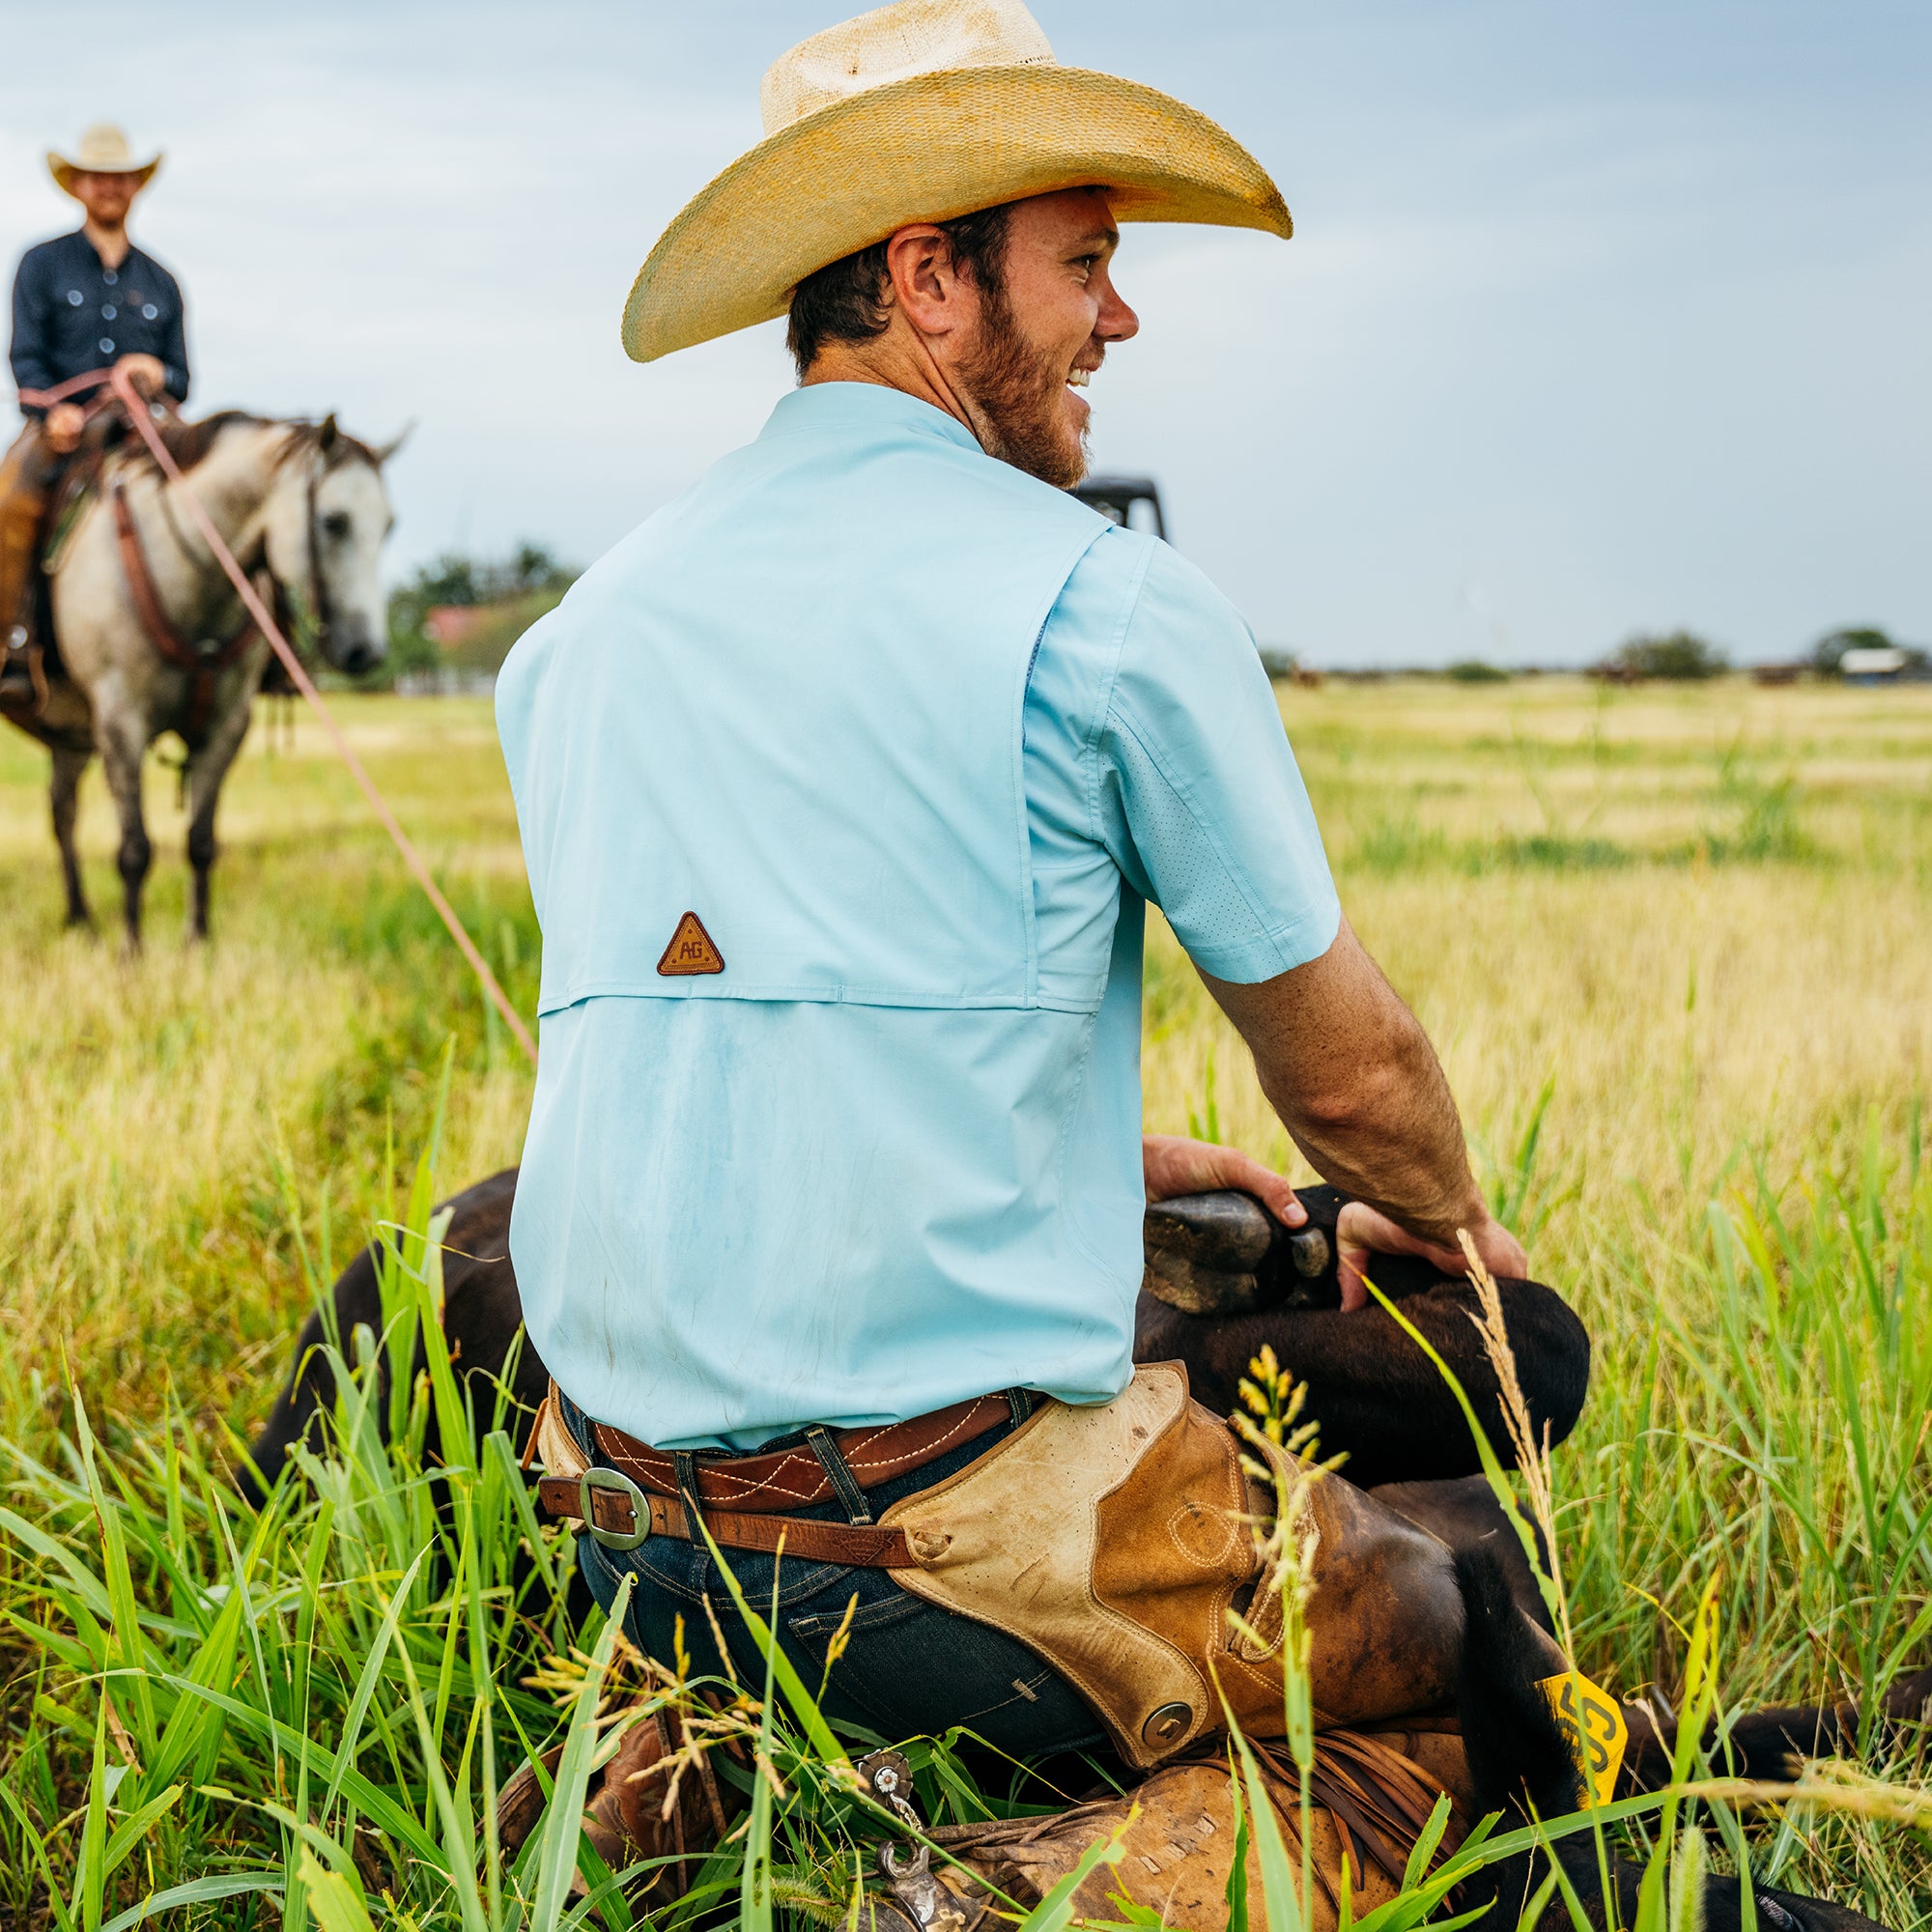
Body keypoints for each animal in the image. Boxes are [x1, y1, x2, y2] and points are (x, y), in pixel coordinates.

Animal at [5, 412, 400, 947]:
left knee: (62, 812)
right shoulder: (121, 723)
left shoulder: (225, 727)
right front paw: (132, 949)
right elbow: (135, 849)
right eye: (334, 521)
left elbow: (201, 841)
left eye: (389, 526)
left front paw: (199, 942)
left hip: (72, 734)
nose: (367, 651)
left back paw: (81, 918)